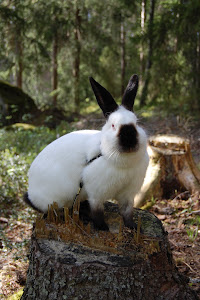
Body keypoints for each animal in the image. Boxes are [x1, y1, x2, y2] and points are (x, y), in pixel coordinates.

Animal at [24, 74, 148, 230]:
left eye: (136, 123)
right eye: (113, 125)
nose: (130, 142)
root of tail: (31, 193)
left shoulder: (128, 194)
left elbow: (127, 212)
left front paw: (133, 226)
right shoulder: (96, 193)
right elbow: (97, 211)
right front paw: (102, 228)